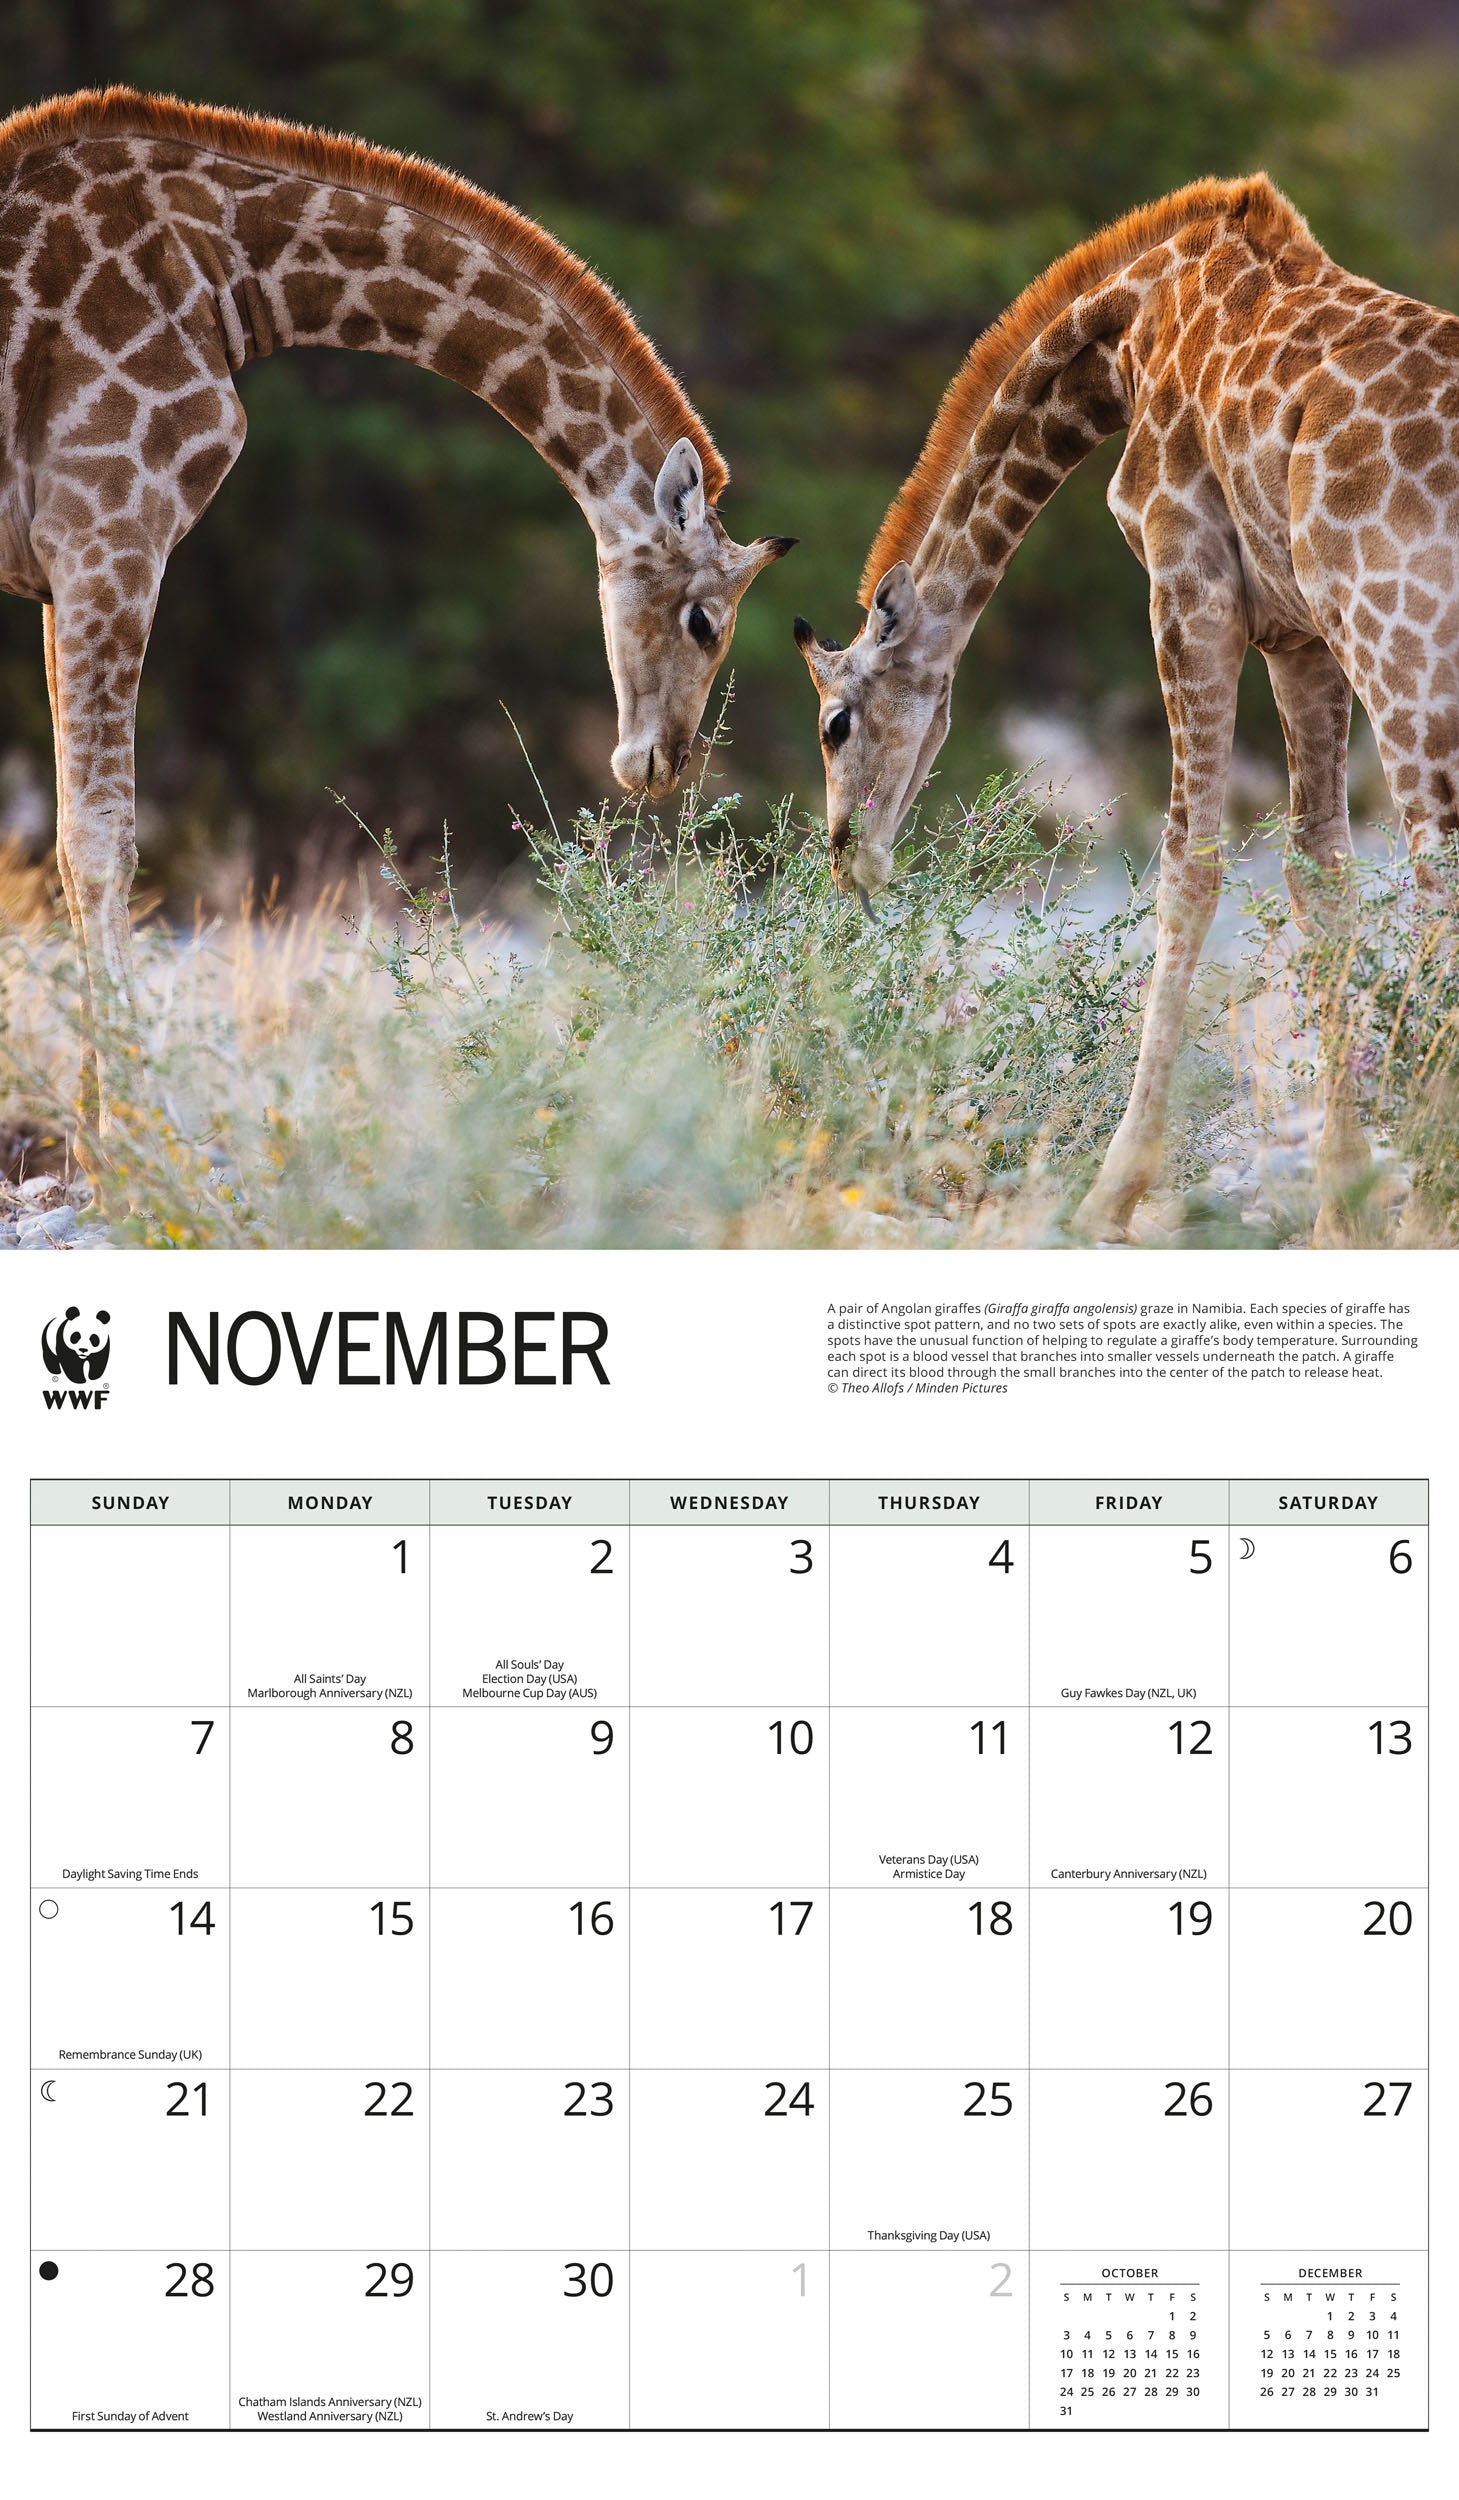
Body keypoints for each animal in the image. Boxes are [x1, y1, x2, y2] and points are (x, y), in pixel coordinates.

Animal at [0, 86, 794, 1136]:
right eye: (704, 620)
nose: (659, 763)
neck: (231, 269)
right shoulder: (108, 531)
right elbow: (101, 845)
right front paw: (128, 1140)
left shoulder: (64, 567)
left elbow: (68, 842)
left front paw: (97, 1132)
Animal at [794, 175, 1459, 1243]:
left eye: (835, 724)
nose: (846, 854)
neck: (1125, 333)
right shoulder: (1299, 636)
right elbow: (1318, 875)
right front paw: (1340, 1206)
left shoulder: (1188, 585)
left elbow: (1187, 867)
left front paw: (1108, 1193)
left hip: (1403, 648)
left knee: (1439, 876)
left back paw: (1429, 1200)